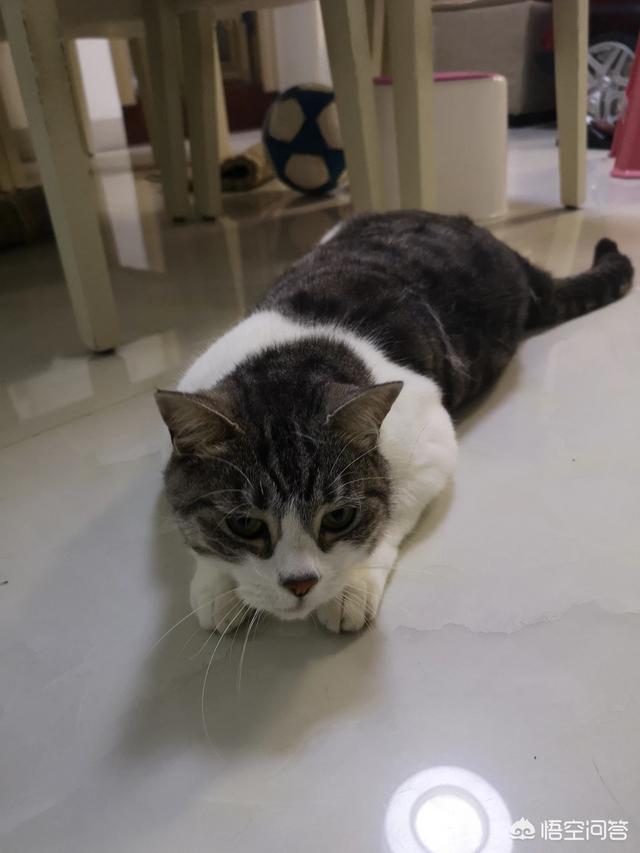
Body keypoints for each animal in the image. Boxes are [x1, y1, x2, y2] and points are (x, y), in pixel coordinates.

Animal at [156, 211, 633, 634]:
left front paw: (350, 585)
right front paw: (219, 586)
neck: (291, 357)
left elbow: (392, 510)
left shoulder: (432, 440)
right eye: (245, 524)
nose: (300, 584)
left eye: (338, 518)